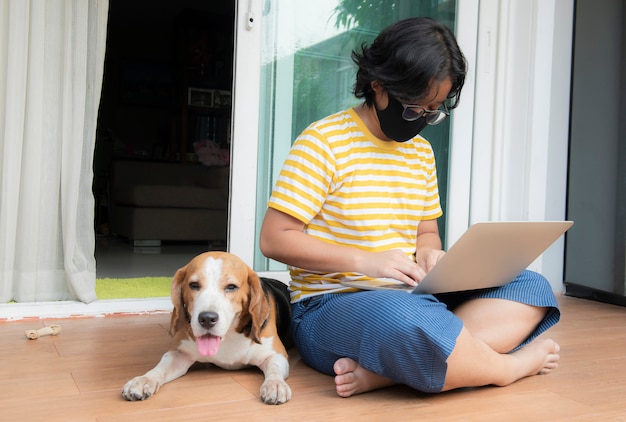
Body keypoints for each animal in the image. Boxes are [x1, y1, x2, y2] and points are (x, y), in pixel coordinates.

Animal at [122, 252, 292, 404]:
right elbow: (160, 367)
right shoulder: (180, 353)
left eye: (231, 287)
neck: (227, 337)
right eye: (194, 285)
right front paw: (144, 380)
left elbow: (275, 368)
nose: (207, 319)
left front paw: (275, 384)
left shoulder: (276, 354)